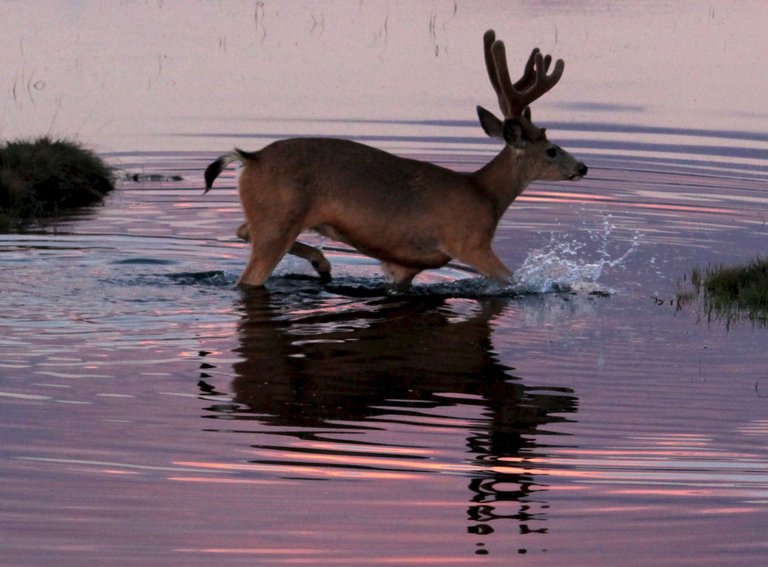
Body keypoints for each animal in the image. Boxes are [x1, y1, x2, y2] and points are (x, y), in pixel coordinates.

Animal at [204, 29, 588, 288]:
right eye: (552, 149)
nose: (582, 167)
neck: (486, 195)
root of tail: (250, 158)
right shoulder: (468, 240)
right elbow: (511, 280)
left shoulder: (403, 264)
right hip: (278, 218)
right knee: (248, 277)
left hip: (270, 216)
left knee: (242, 230)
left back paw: (323, 264)